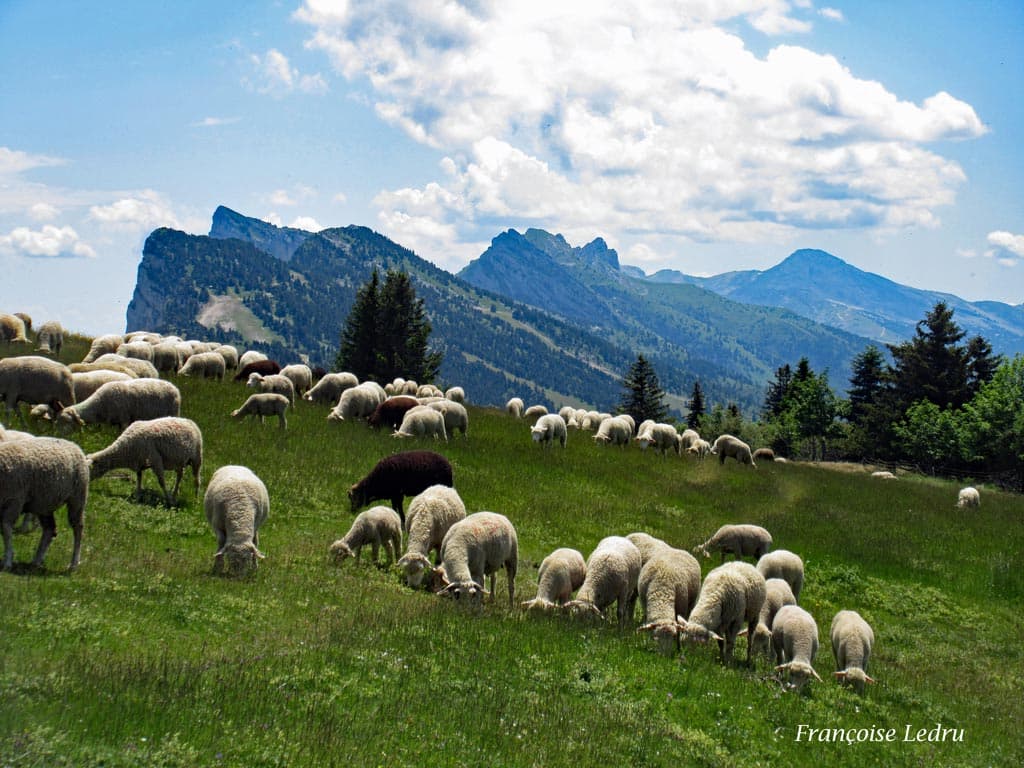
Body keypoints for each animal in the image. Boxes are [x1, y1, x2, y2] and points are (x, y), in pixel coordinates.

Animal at [1, 437, 88, 571]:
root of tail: (74, 444)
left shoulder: (14, 501)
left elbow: (6, 530)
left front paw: (7, 561)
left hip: (77, 497)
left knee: (78, 528)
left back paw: (74, 563)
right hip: (44, 504)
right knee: (50, 529)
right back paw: (37, 561)